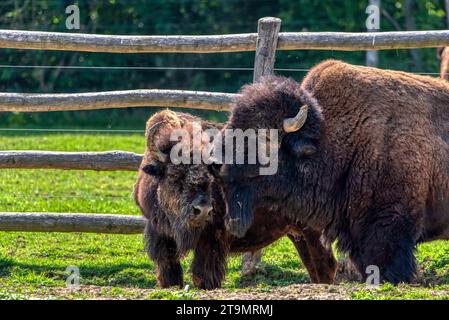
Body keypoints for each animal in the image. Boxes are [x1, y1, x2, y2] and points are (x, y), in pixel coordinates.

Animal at [133, 110, 336, 290]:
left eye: (209, 178)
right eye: (175, 176)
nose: (202, 210)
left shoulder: (211, 236)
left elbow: (202, 274)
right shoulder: (160, 234)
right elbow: (169, 271)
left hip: (313, 232)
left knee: (326, 264)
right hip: (298, 234)